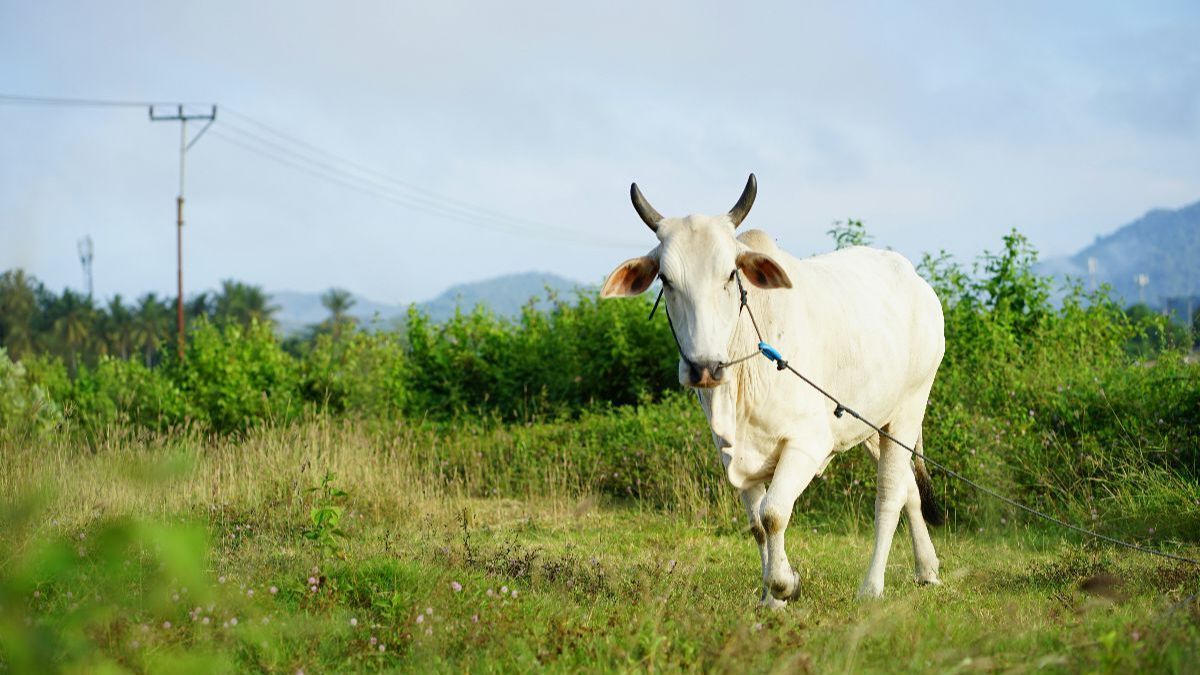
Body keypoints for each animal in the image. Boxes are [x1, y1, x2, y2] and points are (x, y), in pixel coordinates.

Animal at [600, 171, 945, 598]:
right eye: (665, 278)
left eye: (731, 274)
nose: (704, 368)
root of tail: (917, 282)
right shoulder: (732, 453)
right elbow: (757, 526)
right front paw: (770, 597)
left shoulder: (807, 443)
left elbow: (775, 514)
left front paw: (784, 585)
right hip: (870, 423)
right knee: (910, 491)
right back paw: (927, 568)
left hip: (909, 410)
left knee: (891, 496)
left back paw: (871, 588)